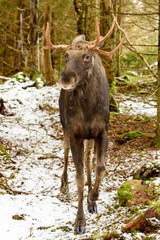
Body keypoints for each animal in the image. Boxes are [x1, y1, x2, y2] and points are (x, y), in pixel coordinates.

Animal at [45, 18, 125, 234]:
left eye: (86, 56)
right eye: (66, 55)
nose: (65, 79)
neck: (89, 109)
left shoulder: (102, 130)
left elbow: (100, 167)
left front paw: (94, 196)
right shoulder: (75, 133)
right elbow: (79, 177)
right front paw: (79, 221)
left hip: (90, 136)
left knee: (89, 158)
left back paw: (91, 198)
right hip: (64, 125)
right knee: (64, 152)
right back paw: (64, 184)